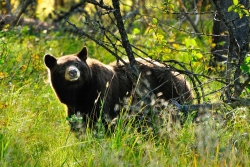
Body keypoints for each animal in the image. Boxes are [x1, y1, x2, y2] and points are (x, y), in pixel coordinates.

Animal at [44, 46, 193, 132]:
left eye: (77, 63)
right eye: (62, 66)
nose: (73, 72)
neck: (80, 91)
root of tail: (182, 77)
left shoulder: (102, 91)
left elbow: (102, 119)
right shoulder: (73, 106)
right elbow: (77, 123)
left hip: (172, 94)